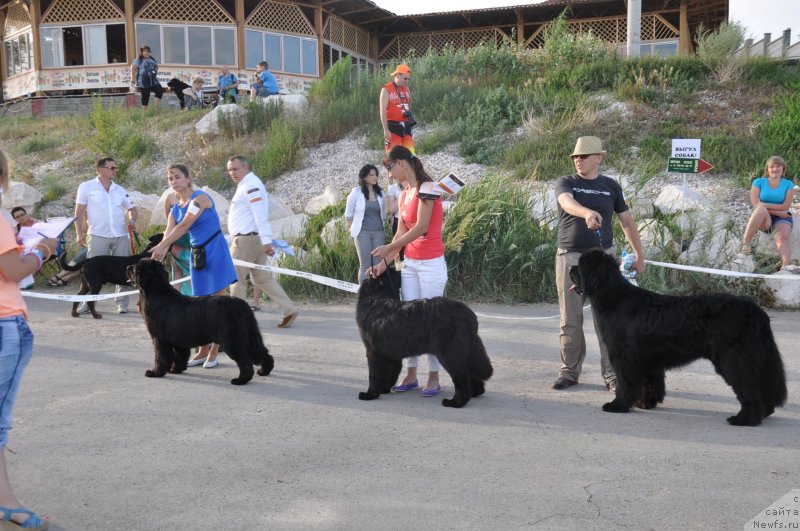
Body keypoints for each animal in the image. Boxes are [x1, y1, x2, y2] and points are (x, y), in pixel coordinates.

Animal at [126, 258, 274, 386]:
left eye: (136, 268)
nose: (127, 267)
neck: (158, 293)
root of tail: (243, 306)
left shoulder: (159, 339)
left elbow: (161, 357)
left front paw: (155, 372)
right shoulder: (179, 340)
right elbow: (180, 356)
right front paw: (176, 370)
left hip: (233, 341)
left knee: (246, 362)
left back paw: (240, 380)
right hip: (251, 336)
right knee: (263, 353)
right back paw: (264, 371)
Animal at [356, 268, 494, 410]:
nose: (401, 270)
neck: (376, 298)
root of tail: (467, 313)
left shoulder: (373, 352)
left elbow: (374, 375)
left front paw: (370, 394)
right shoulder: (391, 354)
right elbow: (390, 373)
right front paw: (384, 389)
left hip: (450, 354)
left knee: (461, 376)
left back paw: (456, 402)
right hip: (464, 352)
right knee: (470, 372)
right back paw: (475, 392)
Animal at [568, 250, 788, 428]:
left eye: (580, 265)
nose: (570, 267)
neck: (613, 297)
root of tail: (756, 311)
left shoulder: (624, 358)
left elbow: (626, 383)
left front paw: (618, 405)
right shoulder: (647, 359)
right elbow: (651, 383)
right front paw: (646, 403)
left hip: (733, 360)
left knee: (749, 390)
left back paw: (744, 419)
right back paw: (762, 414)